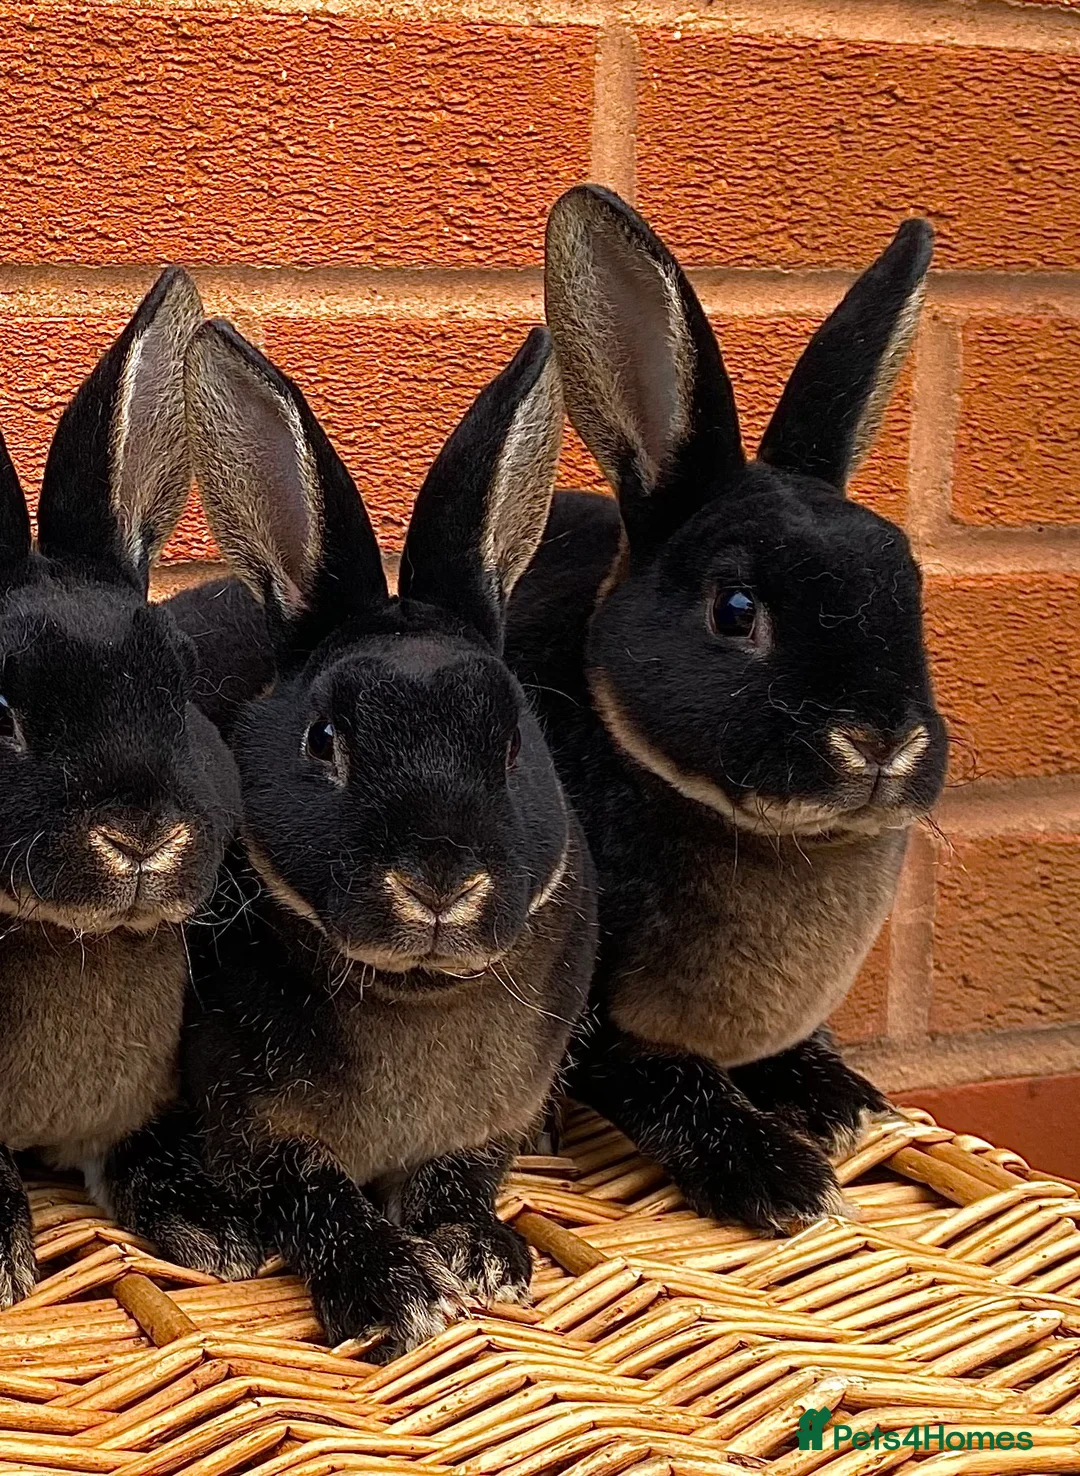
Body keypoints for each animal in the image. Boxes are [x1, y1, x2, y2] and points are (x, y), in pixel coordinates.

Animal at [178, 318, 597, 1355]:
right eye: (324, 740)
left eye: (514, 741)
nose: (439, 875)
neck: (416, 994)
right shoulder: (249, 1128)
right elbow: (314, 1197)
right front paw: (396, 1294)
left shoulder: (493, 1118)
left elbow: (459, 1179)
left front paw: (484, 1258)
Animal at [505, 186, 949, 1232]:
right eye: (735, 610)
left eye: (911, 589)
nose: (882, 742)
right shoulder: (594, 1021)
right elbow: (663, 1085)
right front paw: (783, 1181)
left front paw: (845, 1104)